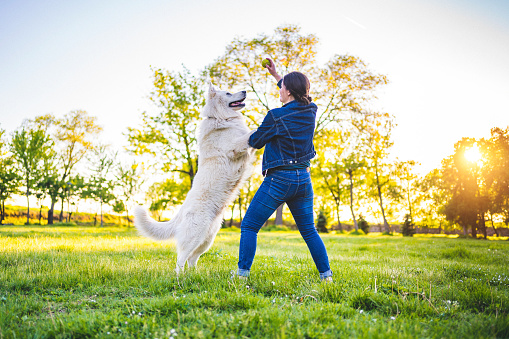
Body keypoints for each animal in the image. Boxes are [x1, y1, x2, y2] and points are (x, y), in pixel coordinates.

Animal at [134, 85, 254, 276]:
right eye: (228, 93)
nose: (244, 91)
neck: (220, 118)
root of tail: (180, 212)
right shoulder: (235, 147)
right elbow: (250, 134)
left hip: (207, 239)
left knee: (192, 258)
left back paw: (195, 275)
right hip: (195, 236)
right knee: (180, 260)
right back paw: (180, 278)